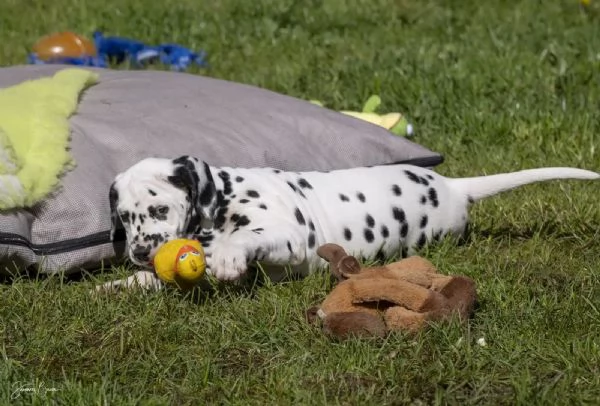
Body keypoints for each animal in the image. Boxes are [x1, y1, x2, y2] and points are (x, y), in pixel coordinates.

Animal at [101, 155, 596, 292]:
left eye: (160, 210)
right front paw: (121, 285)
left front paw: (227, 253)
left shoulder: (289, 239)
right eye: (124, 217)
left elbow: (244, 238)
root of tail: (454, 187)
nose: (140, 252)